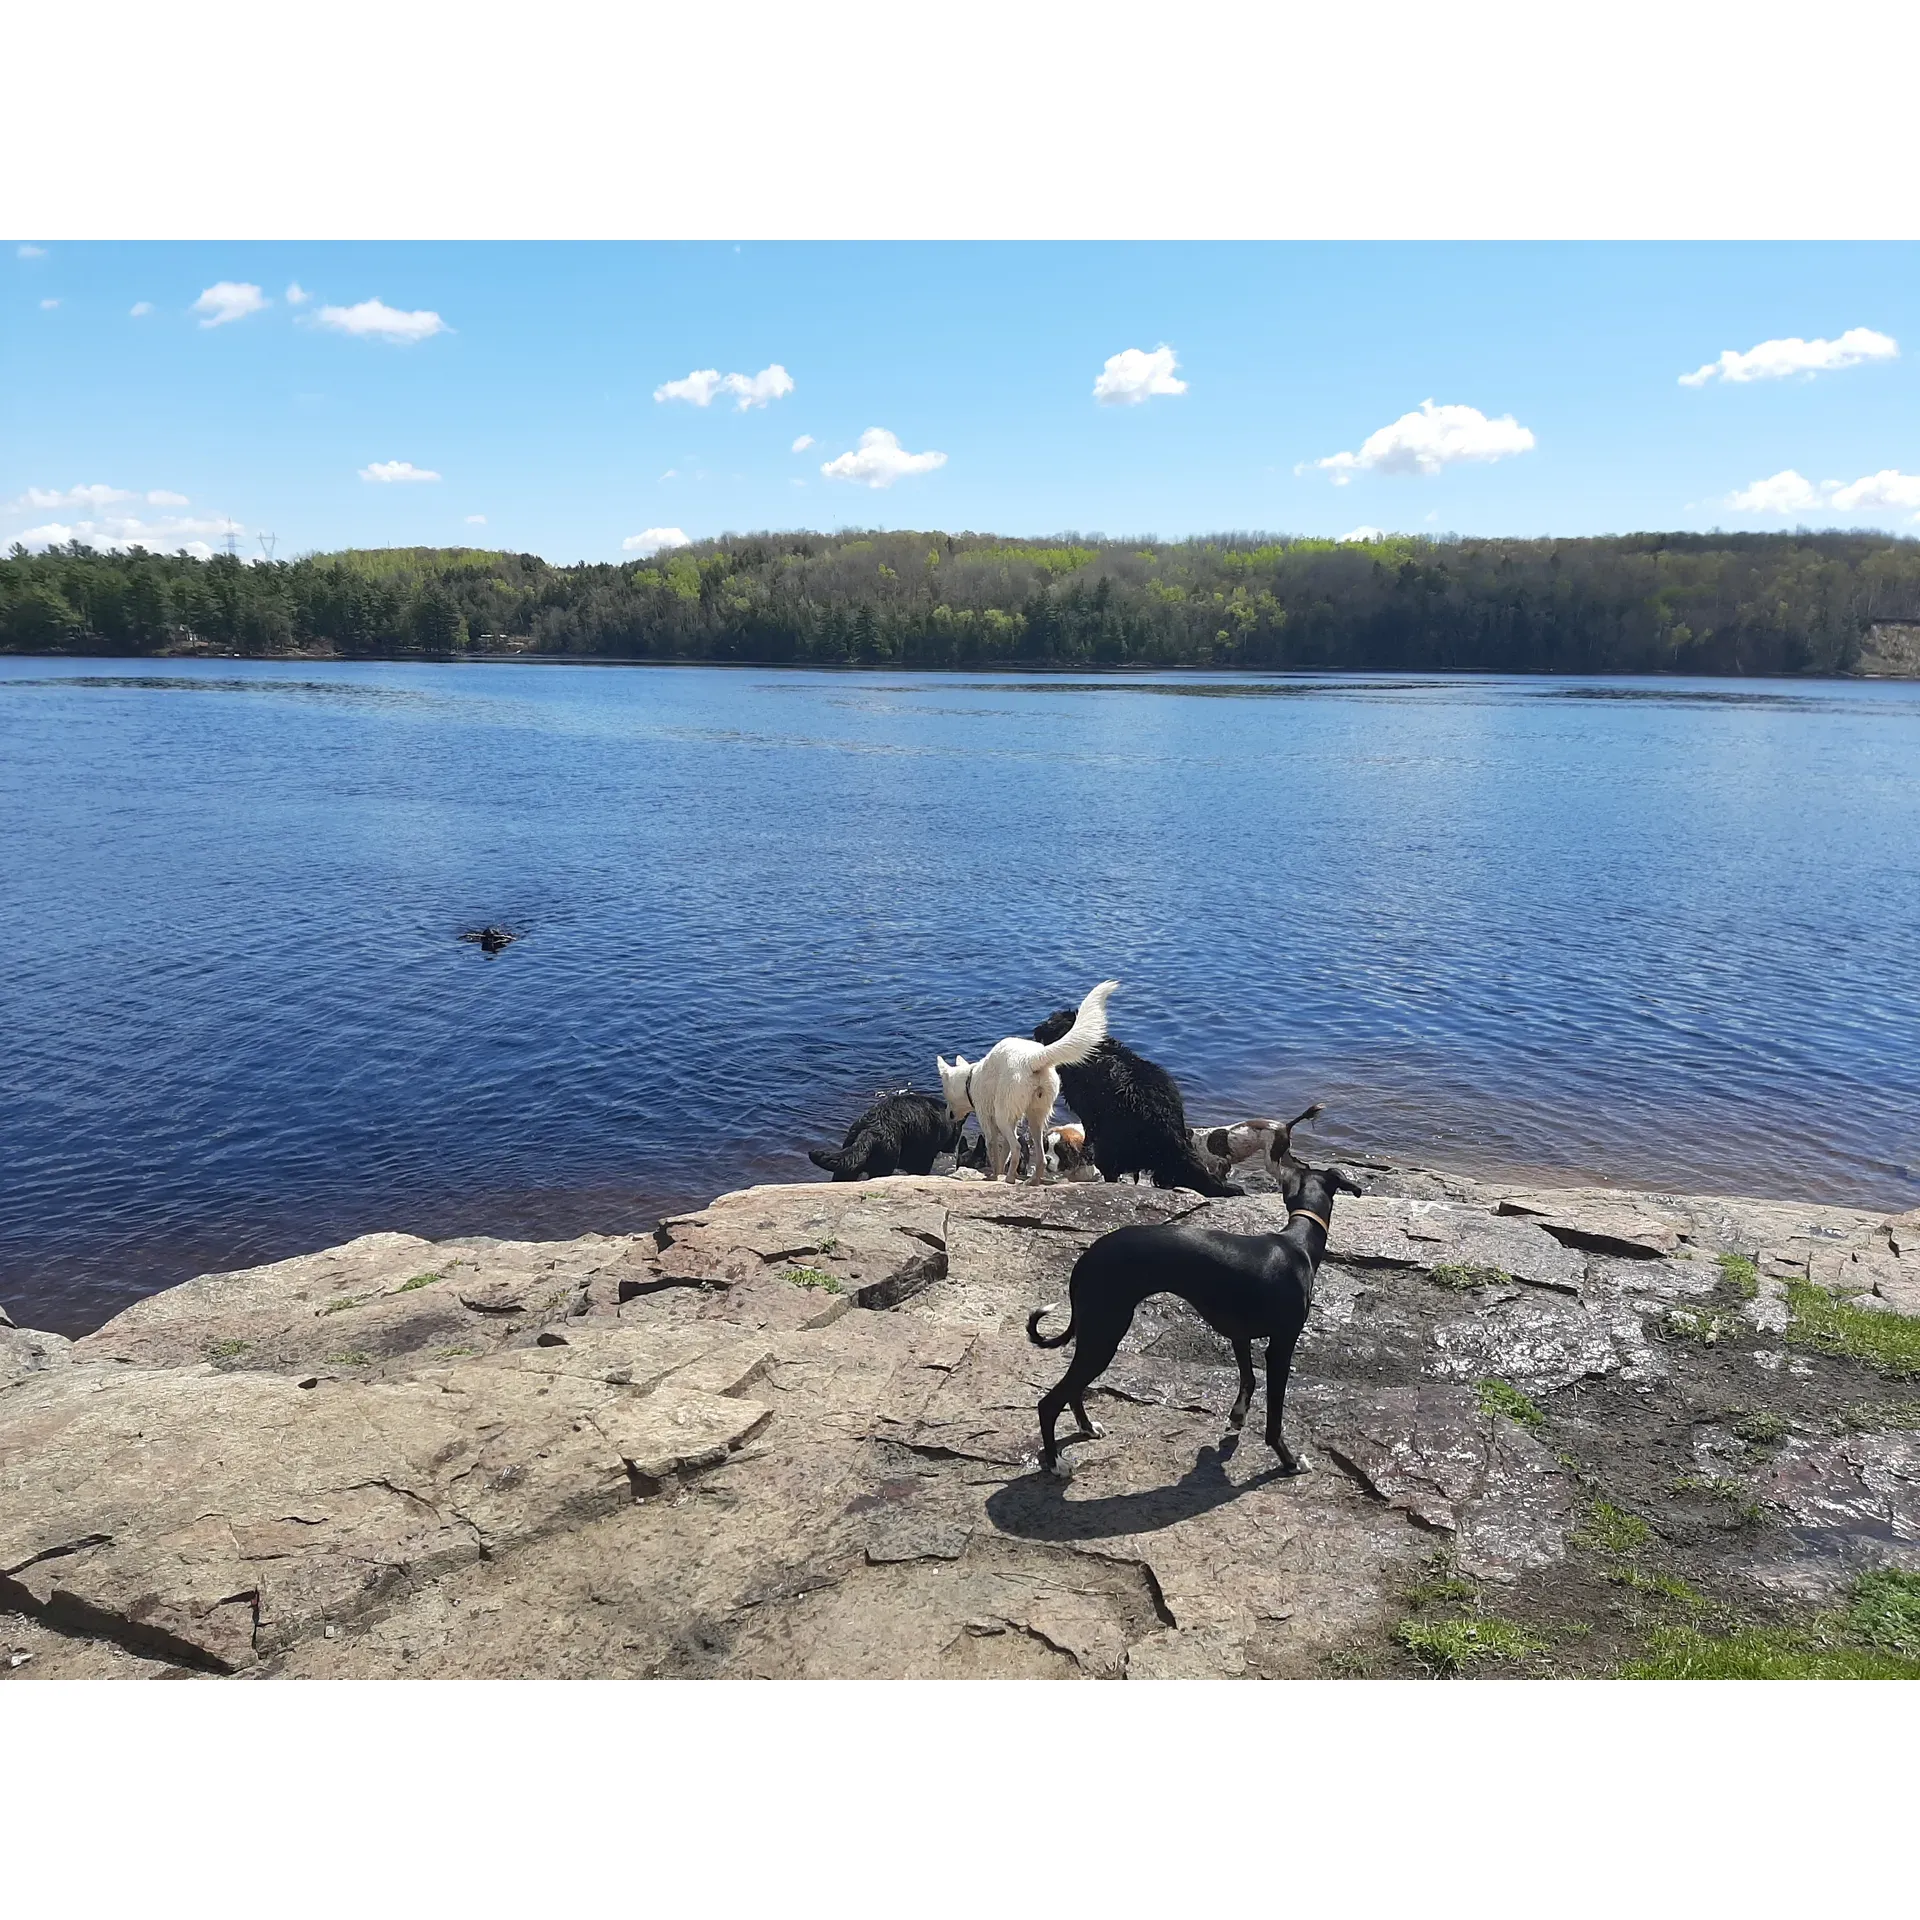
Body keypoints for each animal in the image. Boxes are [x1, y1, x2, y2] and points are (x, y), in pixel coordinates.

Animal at [936, 983, 1121, 1175]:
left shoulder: (989, 1124)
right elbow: (1004, 1154)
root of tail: (1033, 1058)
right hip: (1036, 1118)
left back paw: (1010, 1178)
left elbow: (995, 1154)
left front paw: (995, 1175)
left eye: (946, 1095)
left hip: (1006, 1117)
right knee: (1040, 1157)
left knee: (1017, 1148)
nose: (948, 1115)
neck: (971, 1079)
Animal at [1036, 1152, 1367, 1482]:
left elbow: (1248, 1378)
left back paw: (1087, 1428)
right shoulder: (1281, 1347)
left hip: (1095, 1336)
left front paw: (1237, 1416)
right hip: (1104, 1336)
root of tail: (1085, 1259)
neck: (1297, 1242)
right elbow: (1274, 1419)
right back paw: (1056, 1462)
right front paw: (1289, 1461)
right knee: (1049, 1402)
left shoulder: (1240, 1335)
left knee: (1072, 1390)